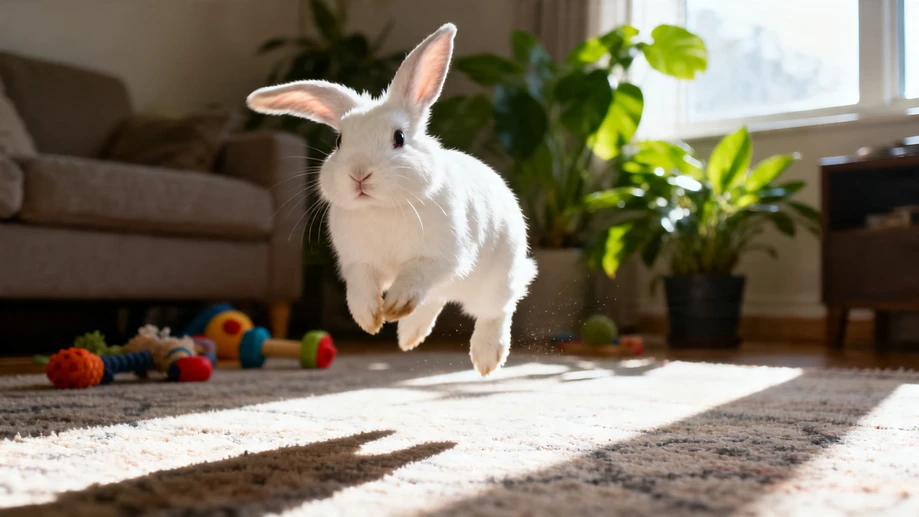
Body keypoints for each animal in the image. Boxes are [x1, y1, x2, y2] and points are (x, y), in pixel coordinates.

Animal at [246, 23, 537, 376]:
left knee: (497, 309)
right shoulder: (357, 262)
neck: (381, 207)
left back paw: (486, 357)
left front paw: (394, 304)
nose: (359, 174)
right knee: (434, 301)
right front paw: (369, 318)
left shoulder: (442, 257)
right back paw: (408, 335)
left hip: (496, 280)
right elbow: (360, 286)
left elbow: (415, 275)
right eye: (339, 141)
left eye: (399, 138)